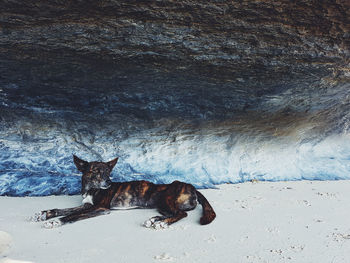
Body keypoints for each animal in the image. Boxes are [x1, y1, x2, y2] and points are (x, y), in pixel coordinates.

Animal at [34, 156, 217, 230]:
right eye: (96, 171)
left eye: (108, 172)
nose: (108, 182)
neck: (92, 189)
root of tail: (192, 186)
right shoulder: (87, 205)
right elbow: (63, 210)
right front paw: (45, 214)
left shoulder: (100, 209)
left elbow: (72, 216)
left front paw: (55, 222)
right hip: (161, 204)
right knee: (174, 213)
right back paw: (153, 219)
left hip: (166, 199)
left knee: (181, 214)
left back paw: (161, 223)